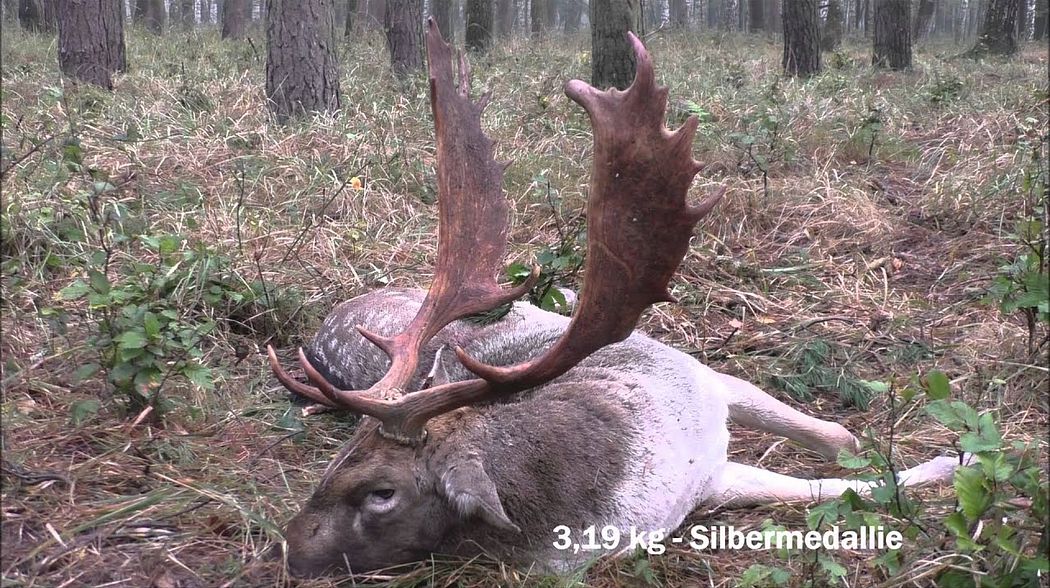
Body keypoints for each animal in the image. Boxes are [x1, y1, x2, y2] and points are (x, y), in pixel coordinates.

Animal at [266, 19, 961, 579]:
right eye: (338, 458)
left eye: (379, 493)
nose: (285, 550)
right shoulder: (708, 484)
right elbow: (838, 484)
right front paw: (945, 462)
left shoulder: (704, 382)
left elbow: (841, 442)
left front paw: (946, 458)